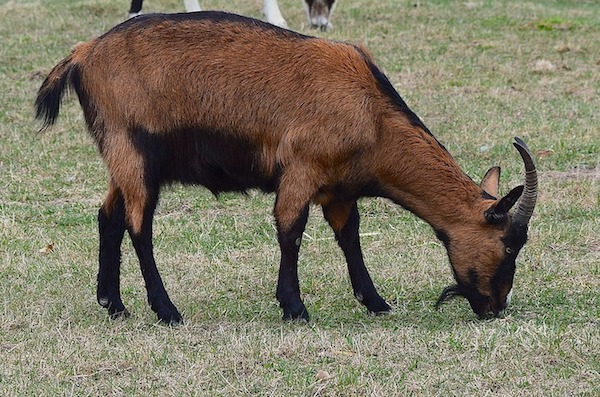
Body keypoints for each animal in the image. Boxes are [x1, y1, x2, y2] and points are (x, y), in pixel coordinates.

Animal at [35, 10, 536, 324]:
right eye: (510, 244)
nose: (494, 307)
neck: (371, 113)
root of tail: (83, 54)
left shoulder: (339, 189)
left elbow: (349, 238)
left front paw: (375, 302)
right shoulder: (301, 170)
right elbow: (290, 230)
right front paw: (294, 308)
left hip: (123, 160)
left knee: (108, 215)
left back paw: (114, 304)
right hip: (134, 152)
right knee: (139, 225)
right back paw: (167, 311)